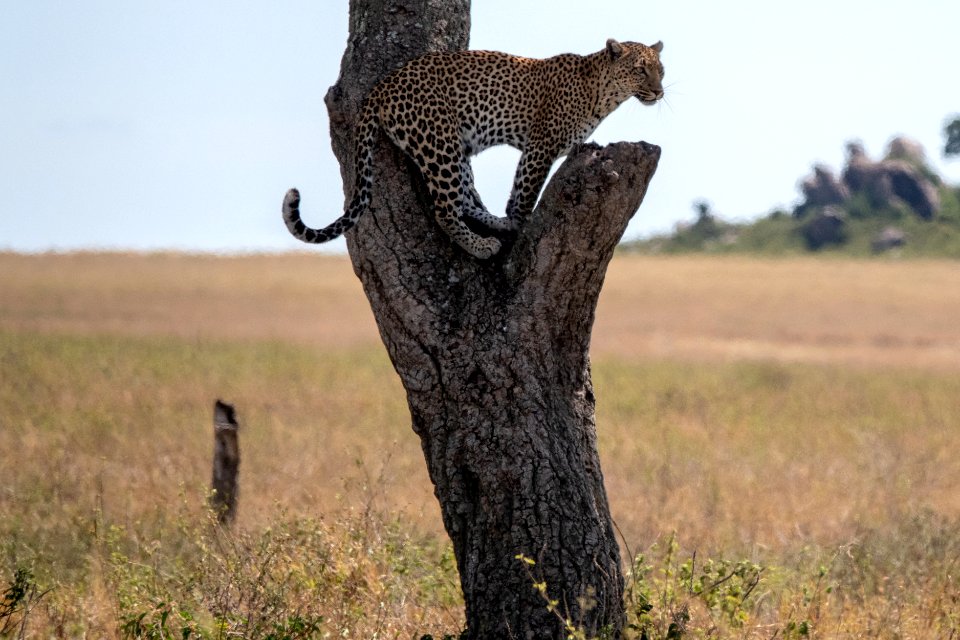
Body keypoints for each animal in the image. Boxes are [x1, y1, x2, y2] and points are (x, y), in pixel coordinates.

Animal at [282, 38, 664, 258]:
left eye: (661, 69)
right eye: (640, 70)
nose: (660, 92)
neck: (604, 94)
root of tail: (383, 86)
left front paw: (512, 222)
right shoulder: (540, 146)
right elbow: (524, 191)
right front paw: (521, 222)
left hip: (456, 147)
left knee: (464, 199)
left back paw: (495, 224)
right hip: (439, 143)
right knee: (445, 210)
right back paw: (481, 245)